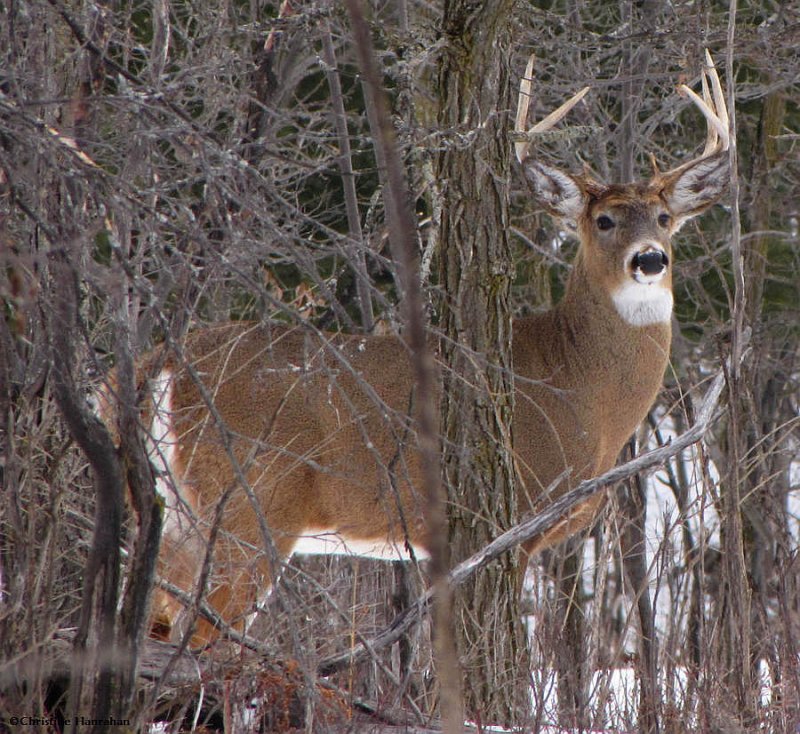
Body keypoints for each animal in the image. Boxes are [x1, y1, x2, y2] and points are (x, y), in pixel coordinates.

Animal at [101, 54, 732, 648]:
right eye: (602, 220)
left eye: (665, 218)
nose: (649, 259)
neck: (579, 391)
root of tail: (159, 366)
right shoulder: (511, 522)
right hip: (248, 504)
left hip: (175, 517)